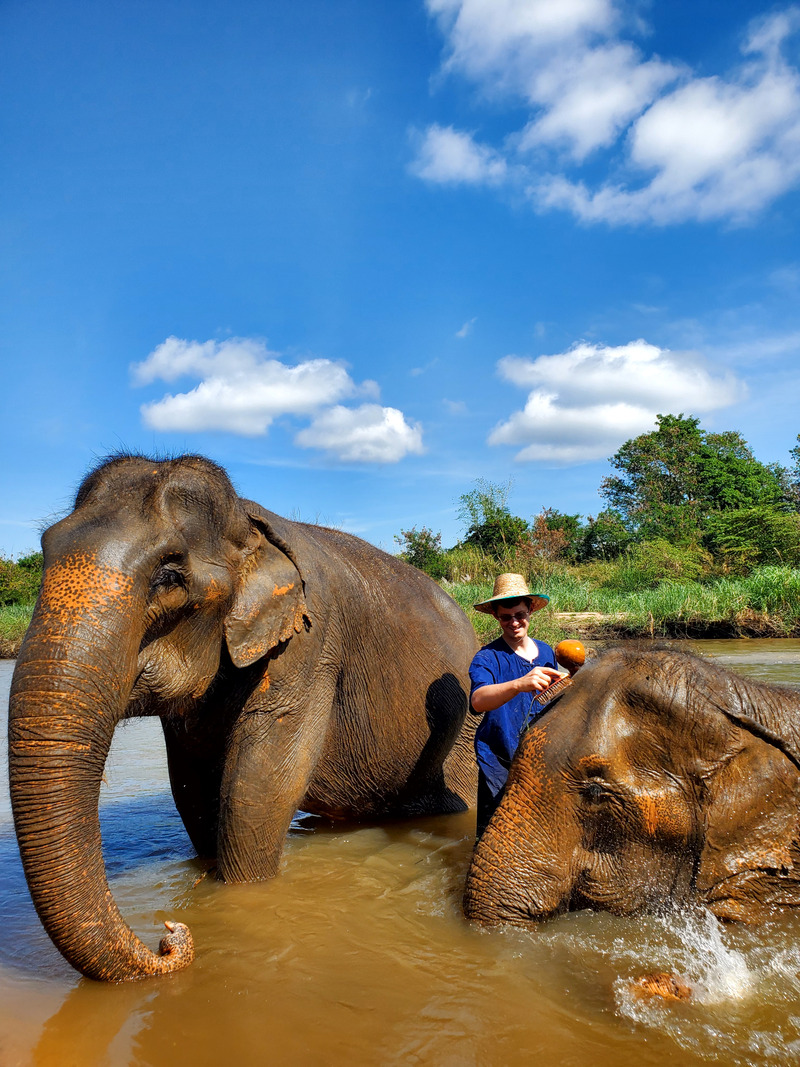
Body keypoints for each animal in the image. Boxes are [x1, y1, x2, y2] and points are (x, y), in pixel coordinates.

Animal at [9, 454, 478, 982]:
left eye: (169, 575)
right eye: (44, 549)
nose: (170, 935)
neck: (247, 525)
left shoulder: (312, 643)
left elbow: (255, 789)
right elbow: (193, 785)